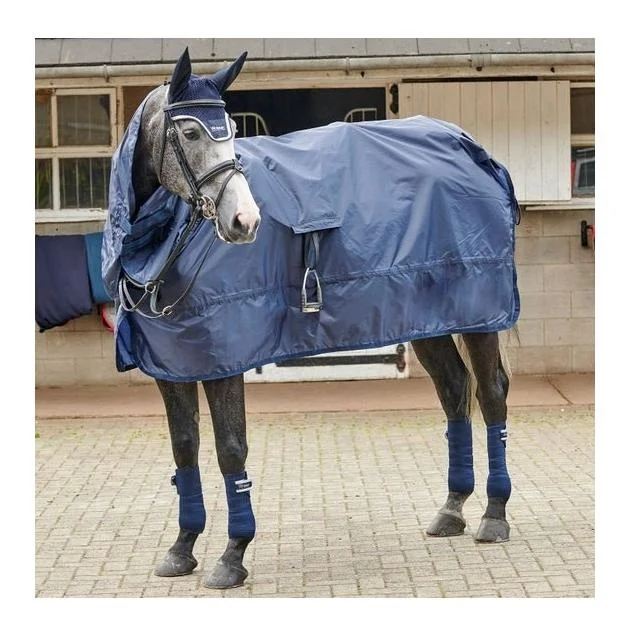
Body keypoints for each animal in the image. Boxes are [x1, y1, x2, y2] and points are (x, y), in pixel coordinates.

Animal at [102, 48, 517, 589]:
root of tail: (473, 150)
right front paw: (182, 547)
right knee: (454, 390)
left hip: (479, 313)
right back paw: (452, 509)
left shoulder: (223, 358)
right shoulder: (173, 364)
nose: (246, 221)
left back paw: (494, 515)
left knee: (490, 394)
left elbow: (230, 449)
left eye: (230, 130)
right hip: (429, 318)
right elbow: (185, 448)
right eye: (190, 133)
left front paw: (232, 556)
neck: (166, 242)